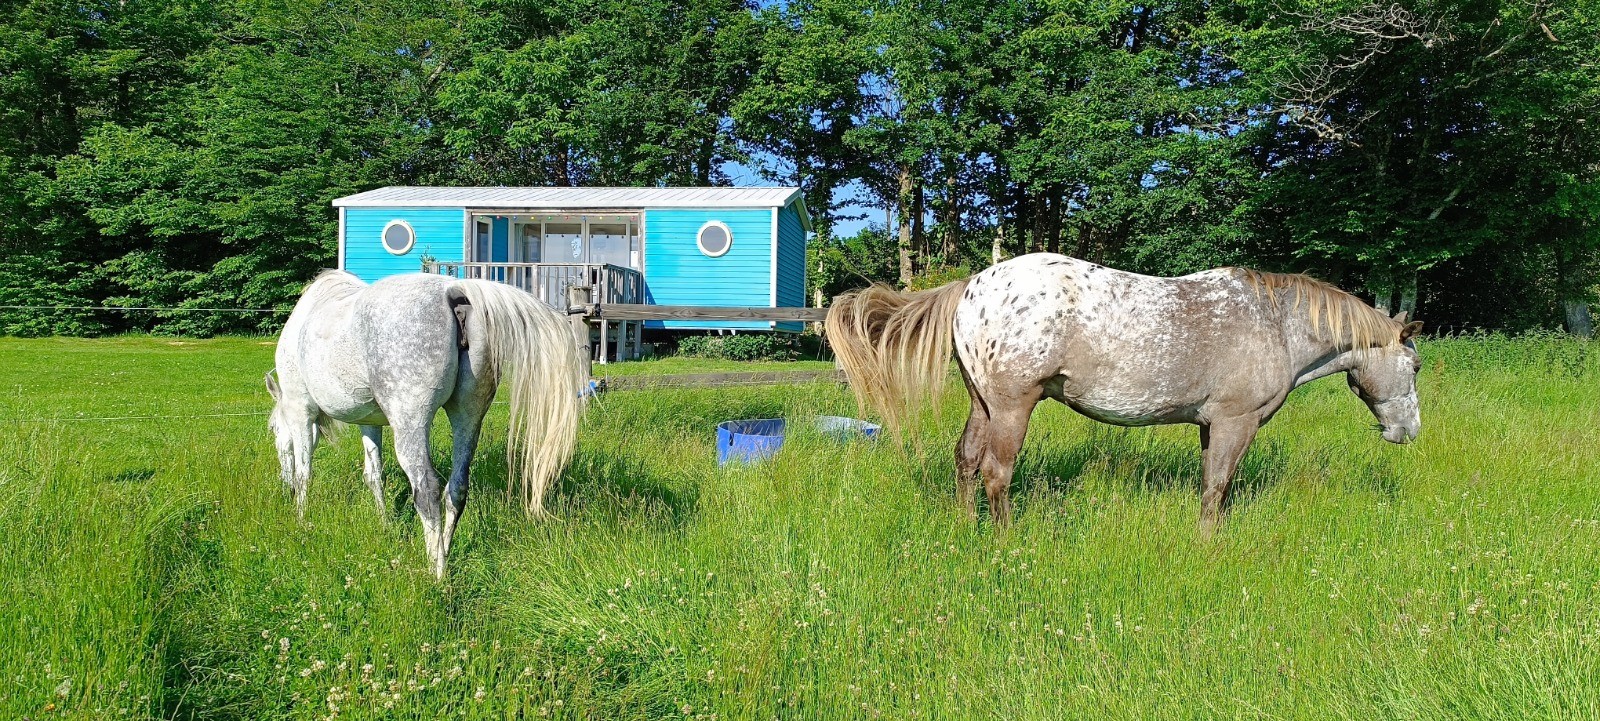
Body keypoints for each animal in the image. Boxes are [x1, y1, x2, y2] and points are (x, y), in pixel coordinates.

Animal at [266, 270, 586, 578]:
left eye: (273, 431)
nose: (281, 487)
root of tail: (455, 291)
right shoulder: (369, 422)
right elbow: (374, 475)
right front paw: (385, 524)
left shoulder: (301, 411)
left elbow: (304, 472)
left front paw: (300, 518)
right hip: (468, 417)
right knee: (457, 487)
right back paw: (445, 550)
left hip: (411, 422)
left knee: (428, 490)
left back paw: (437, 571)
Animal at [826, 253, 1424, 533]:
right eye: (1415, 366)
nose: (1409, 431)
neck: (1274, 323)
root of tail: (972, 285)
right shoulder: (1237, 422)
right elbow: (1218, 486)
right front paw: (1208, 544)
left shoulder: (1211, 426)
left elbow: (1212, 485)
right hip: (1013, 408)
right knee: (997, 472)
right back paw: (1004, 539)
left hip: (983, 406)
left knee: (967, 462)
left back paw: (963, 526)